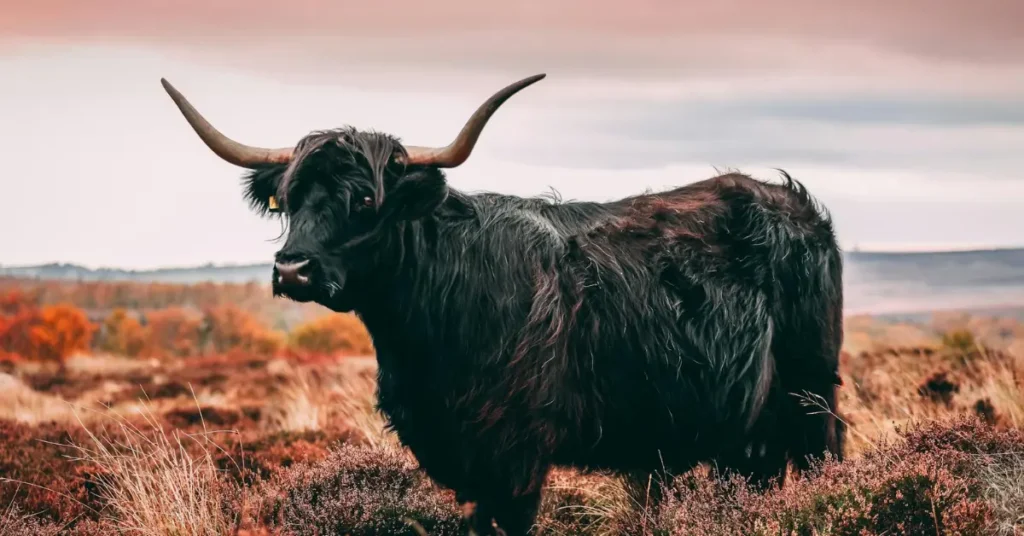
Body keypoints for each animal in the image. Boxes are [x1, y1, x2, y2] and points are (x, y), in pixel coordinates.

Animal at [160, 74, 846, 536]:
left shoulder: (515, 452)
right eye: (291, 198)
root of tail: (794, 205)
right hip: (743, 426)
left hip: (811, 392)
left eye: (365, 201)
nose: (292, 268)